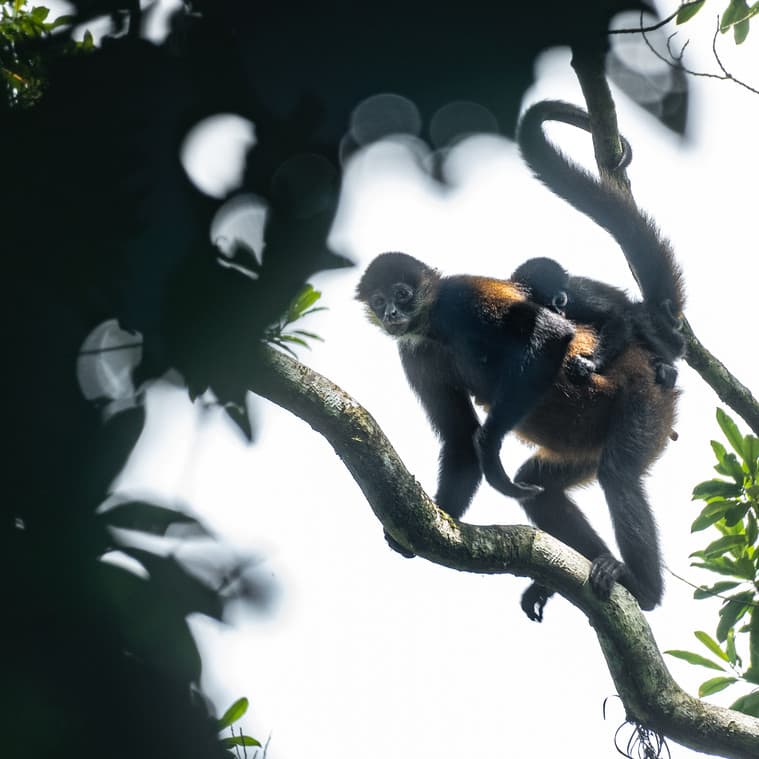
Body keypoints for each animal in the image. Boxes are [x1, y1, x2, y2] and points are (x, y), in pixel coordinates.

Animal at [511, 256, 680, 388]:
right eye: (547, 305)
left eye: (561, 300)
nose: (560, 311)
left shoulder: (579, 294)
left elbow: (617, 316)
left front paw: (591, 362)